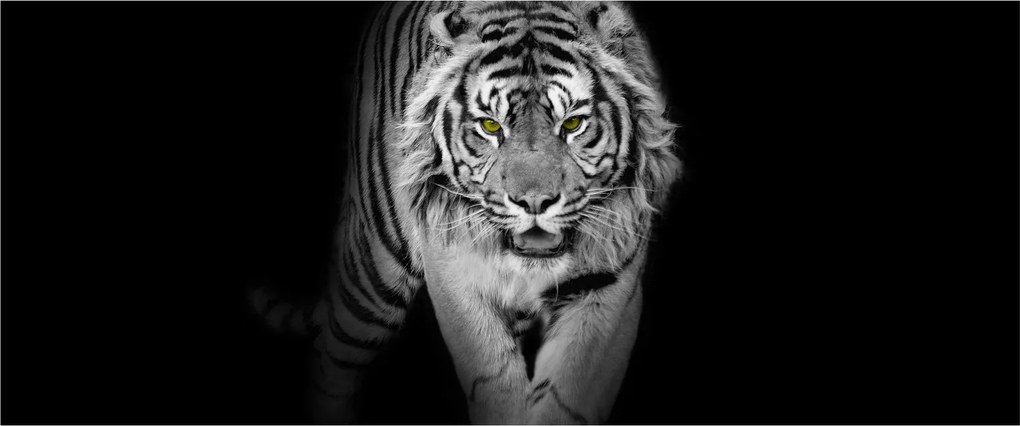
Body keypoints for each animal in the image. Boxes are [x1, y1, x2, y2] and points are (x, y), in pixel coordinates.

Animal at [250, 1, 681, 423]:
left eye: (573, 123)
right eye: (490, 126)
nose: (534, 203)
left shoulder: (609, 285)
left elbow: (566, 397)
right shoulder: (454, 271)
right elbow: (494, 381)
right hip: (374, 271)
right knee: (332, 359)